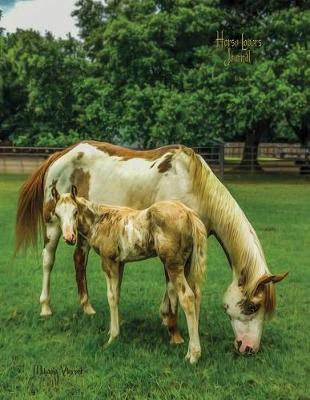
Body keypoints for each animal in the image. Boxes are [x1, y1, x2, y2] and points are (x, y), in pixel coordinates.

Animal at [51, 186, 206, 364]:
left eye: (75, 211)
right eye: (57, 214)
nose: (69, 237)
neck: (100, 220)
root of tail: (189, 214)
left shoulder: (108, 261)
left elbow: (111, 297)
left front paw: (112, 338)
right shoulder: (120, 263)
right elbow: (117, 295)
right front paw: (114, 331)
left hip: (173, 265)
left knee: (187, 297)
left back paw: (194, 355)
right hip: (187, 265)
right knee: (197, 295)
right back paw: (190, 350)